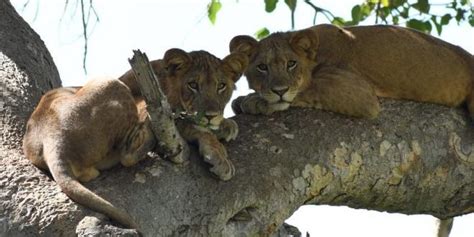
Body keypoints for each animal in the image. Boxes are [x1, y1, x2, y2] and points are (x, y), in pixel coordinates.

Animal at [23, 47, 248, 230]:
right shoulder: (145, 106)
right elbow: (191, 126)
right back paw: (152, 141)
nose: (210, 115)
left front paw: (226, 125)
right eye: (193, 84)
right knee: (127, 156)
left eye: (221, 86)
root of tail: (52, 139)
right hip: (111, 83)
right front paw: (219, 155)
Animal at [228, 24, 472, 118]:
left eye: (291, 63)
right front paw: (242, 100)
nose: (279, 90)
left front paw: (253, 102)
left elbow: (305, 91)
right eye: (262, 67)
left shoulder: (359, 93)